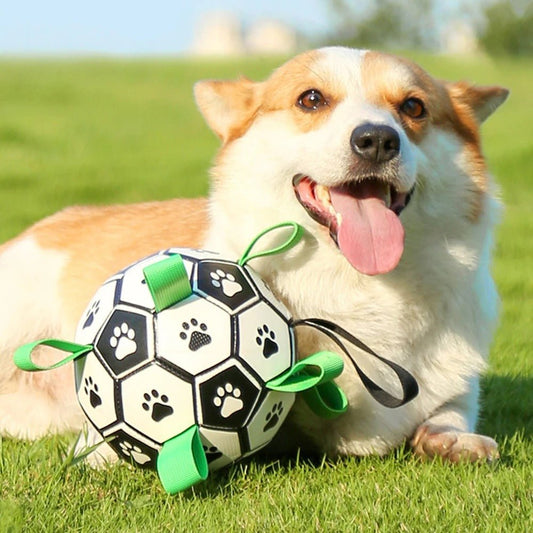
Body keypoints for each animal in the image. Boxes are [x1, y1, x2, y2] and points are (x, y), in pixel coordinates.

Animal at [0, 46, 508, 462]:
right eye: (311, 100)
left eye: (413, 107)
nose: (378, 140)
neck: (359, 284)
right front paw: (107, 447)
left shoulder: (453, 383)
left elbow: (451, 409)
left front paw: (451, 438)